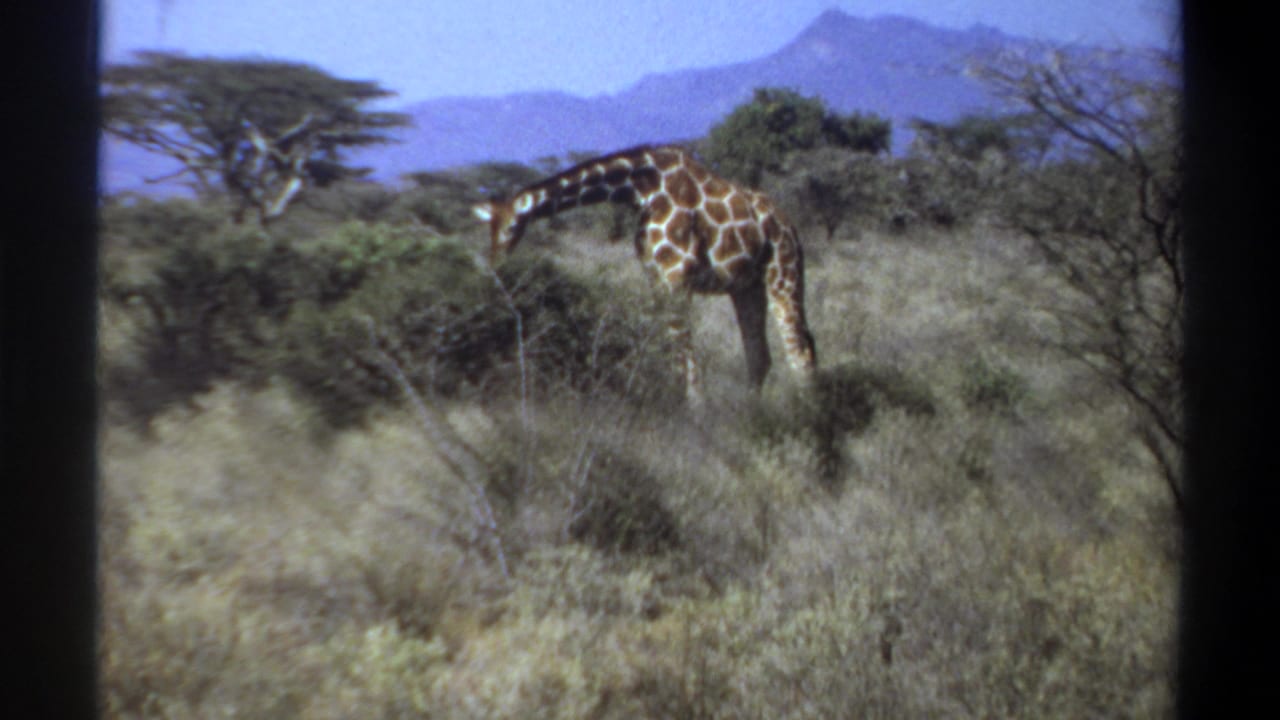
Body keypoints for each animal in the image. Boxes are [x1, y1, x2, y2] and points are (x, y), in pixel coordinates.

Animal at [472, 145, 816, 403]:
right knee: (761, 356)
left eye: (511, 227)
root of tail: (791, 227)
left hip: (783, 275)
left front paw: (696, 414)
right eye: (488, 230)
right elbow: (674, 355)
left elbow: (684, 356)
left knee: (799, 352)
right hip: (747, 288)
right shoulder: (657, 280)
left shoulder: (676, 278)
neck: (641, 190)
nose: (496, 264)